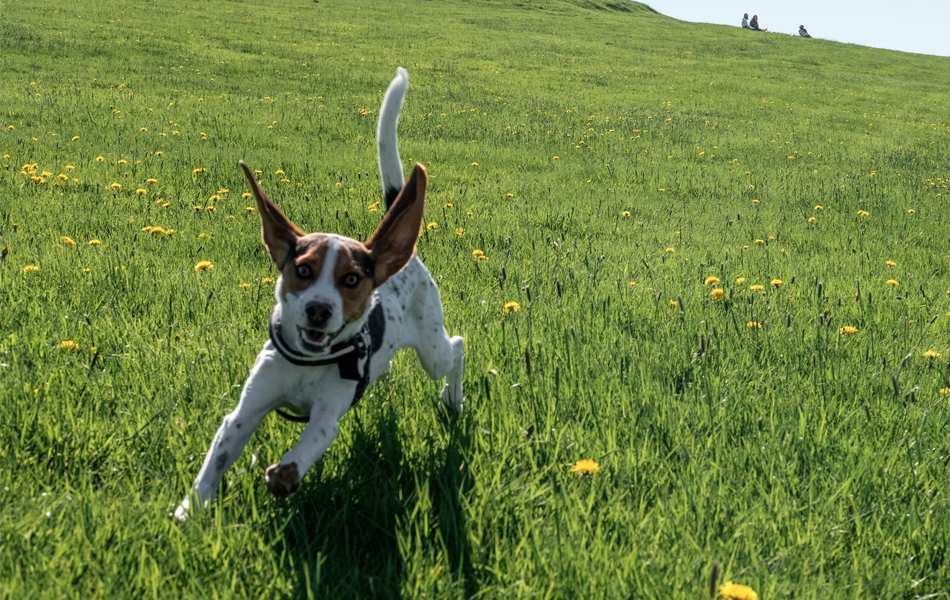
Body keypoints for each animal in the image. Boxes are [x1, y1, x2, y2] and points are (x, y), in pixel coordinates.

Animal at [177, 68, 466, 520]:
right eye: (303, 271)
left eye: (351, 280)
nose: (318, 310)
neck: (309, 363)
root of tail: (398, 256)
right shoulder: (246, 409)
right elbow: (217, 458)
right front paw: (189, 512)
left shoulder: (328, 414)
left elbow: (303, 451)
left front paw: (283, 474)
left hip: (433, 348)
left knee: (456, 347)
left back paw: (453, 399)